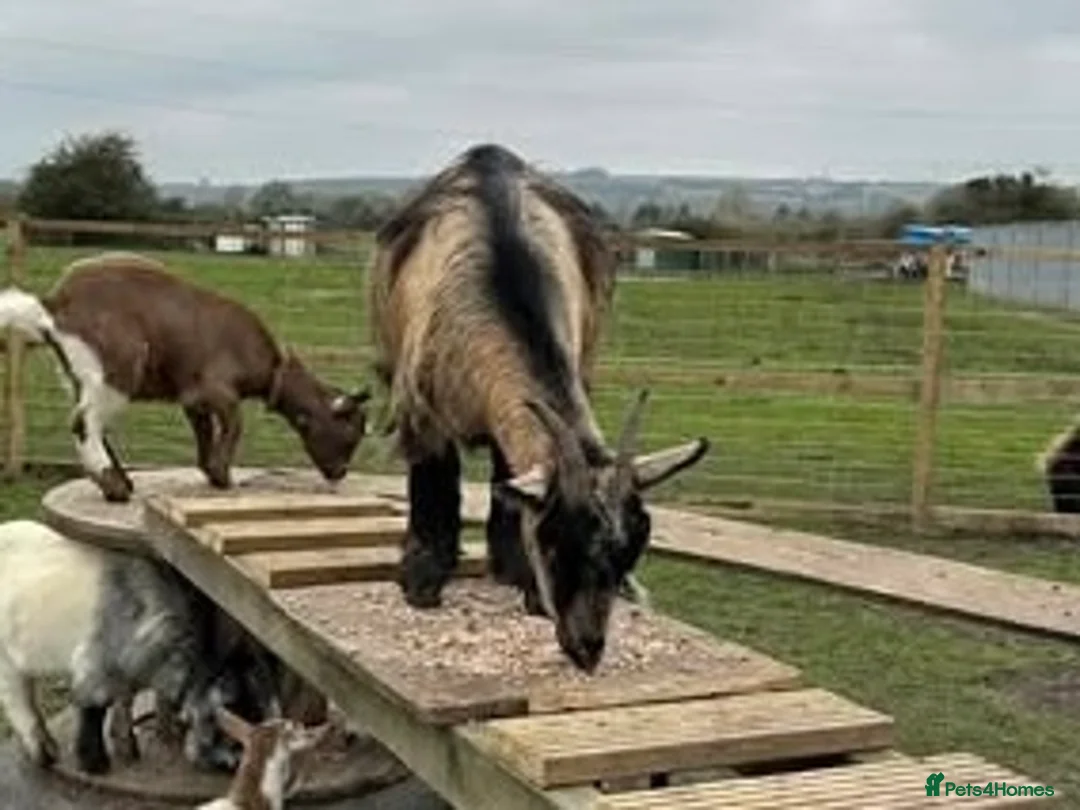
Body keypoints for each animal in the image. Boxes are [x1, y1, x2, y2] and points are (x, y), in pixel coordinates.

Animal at [0, 252, 370, 503]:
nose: (339, 474)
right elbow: (236, 423)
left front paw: (210, 472)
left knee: (94, 423)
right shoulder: (216, 389)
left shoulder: (193, 399)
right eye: (351, 434)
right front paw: (223, 477)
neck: (273, 367)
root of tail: (55, 305)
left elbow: (204, 433)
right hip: (116, 369)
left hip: (78, 376)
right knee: (84, 423)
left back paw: (121, 481)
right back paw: (114, 487)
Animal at [0, 519, 257, 775]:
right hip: (5, 655)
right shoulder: (97, 660)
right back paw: (42, 754)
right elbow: (95, 705)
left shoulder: (126, 668)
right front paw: (95, 763)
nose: (236, 766)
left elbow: (124, 699)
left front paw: (126, 747)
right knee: (16, 696)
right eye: (235, 738)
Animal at [368, 143, 709, 673]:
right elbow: (433, 480)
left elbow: (509, 478)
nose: (588, 649)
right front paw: (422, 580)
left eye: (630, 553)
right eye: (554, 541)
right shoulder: (422, 408)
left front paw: (522, 580)